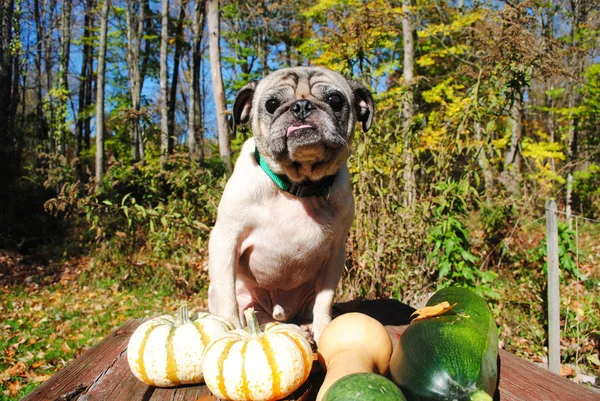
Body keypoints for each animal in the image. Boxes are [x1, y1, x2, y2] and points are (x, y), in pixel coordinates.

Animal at [209, 66, 372, 344]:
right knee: (257, 317)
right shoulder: (226, 240)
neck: (297, 187)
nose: (302, 106)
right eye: (272, 104)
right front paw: (231, 330)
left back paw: (305, 327)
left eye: (335, 100)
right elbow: (227, 300)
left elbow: (324, 302)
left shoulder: (335, 253)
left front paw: (322, 328)